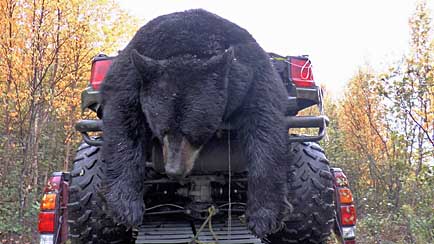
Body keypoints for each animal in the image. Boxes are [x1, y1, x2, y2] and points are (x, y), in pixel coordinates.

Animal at [101, 9, 290, 236]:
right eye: (162, 131)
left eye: (192, 134)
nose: (173, 171)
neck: (189, 47)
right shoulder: (132, 72)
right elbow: (123, 123)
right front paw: (125, 208)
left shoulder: (252, 74)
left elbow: (265, 130)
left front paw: (264, 216)